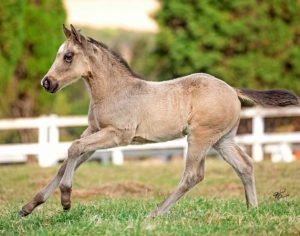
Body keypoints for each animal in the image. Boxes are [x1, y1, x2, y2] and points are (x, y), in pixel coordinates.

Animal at [19, 24, 298, 217]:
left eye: (68, 56)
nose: (47, 83)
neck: (114, 91)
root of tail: (231, 88)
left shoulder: (118, 135)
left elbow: (73, 150)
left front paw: (66, 199)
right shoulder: (94, 132)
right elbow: (68, 160)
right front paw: (29, 206)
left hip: (200, 137)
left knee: (193, 175)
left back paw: (155, 213)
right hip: (223, 140)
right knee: (245, 165)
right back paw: (253, 209)